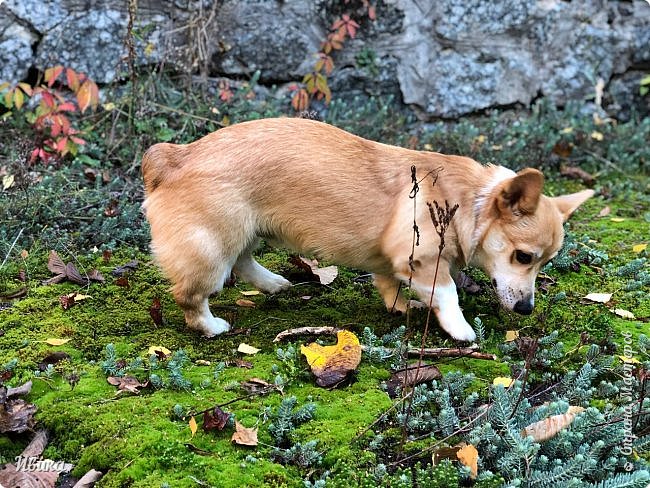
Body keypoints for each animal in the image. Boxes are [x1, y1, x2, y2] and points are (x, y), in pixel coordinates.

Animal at [142, 117, 592, 342]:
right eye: (523, 257)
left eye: (543, 262)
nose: (526, 309)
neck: (471, 201)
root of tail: (173, 157)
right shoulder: (424, 261)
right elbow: (447, 294)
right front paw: (461, 329)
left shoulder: (392, 264)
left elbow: (390, 286)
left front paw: (402, 307)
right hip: (214, 247)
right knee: (193, 294)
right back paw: (211, 326)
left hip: (247, 231)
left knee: (245, 260)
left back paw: (274, 284)